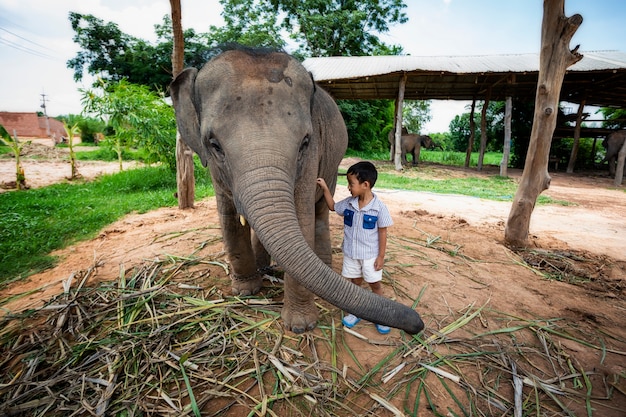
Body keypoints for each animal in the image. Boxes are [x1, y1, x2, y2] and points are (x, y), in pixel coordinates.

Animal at [173, 47, 422, 334]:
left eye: (304, 142)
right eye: (213, 144)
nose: (417, 323)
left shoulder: (312, 157)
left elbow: (302, 217)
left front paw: (301, 326)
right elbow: (229, 218)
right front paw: (245, 291)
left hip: (333, 163)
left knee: (320, 212)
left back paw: (323, 263)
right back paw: (264, 267)